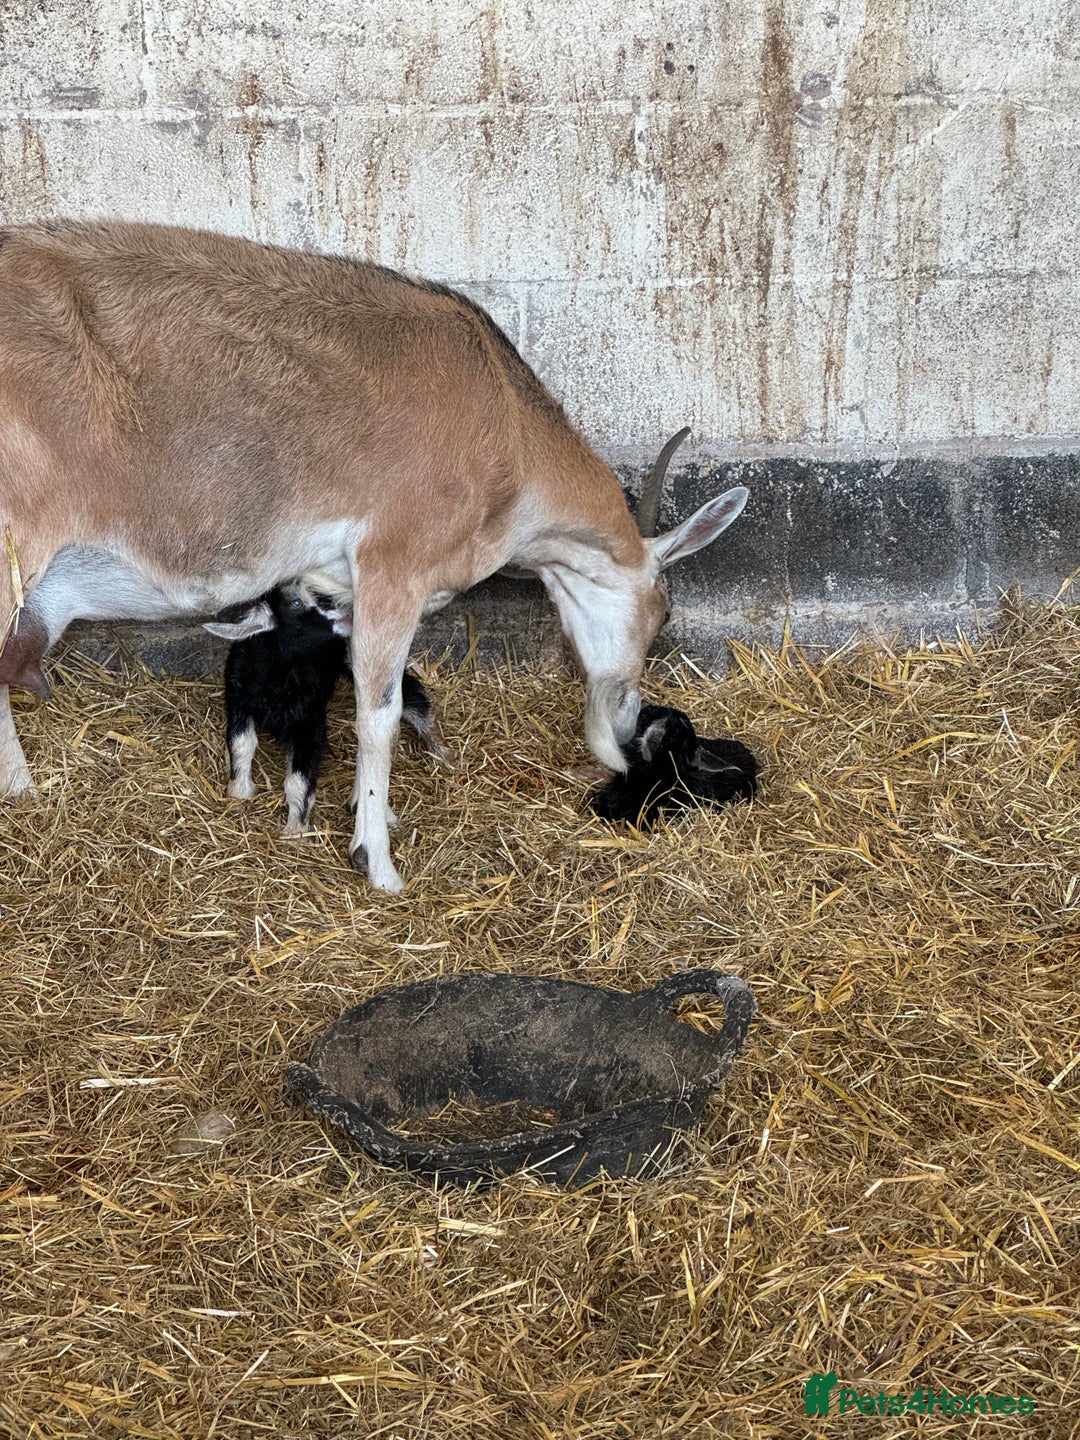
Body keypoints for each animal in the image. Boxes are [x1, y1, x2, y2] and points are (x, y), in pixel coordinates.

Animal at [205, 581, 451, 836]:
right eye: (295, 603)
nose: (350, 615)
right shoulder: (238, 702)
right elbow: (241, 744)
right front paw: (239, 792)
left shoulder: (311, 721)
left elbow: (297, 780)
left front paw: (295, 829)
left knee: (410, 693)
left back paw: (441, 751)